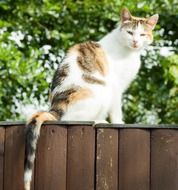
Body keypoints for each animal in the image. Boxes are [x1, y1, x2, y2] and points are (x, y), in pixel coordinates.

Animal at [23, 7, 159, 190]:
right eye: (130, 32)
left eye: (143, 34)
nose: (136, 42)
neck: (129, 53)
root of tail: (54, 108)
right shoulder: (116, 87)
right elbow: (117, 110)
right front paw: (119, 122)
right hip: (101, 91)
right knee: (71, 119)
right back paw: (99, 121)